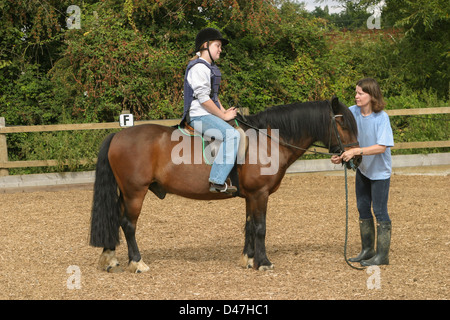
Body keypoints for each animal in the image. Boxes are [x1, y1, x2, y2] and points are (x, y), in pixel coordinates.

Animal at [89, 97, 360, 272]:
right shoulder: (260, 194)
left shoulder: (251, 196)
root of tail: (119, 134)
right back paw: (137, 262)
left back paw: (109, 257)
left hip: (126, 192)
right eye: (343, 124)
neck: (266, 140)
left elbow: (249, 226)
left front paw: (248, 259)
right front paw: (263, 263)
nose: (356, 157)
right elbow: (260, 227)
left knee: (115, 219)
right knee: (128, 224)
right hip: (135, 192)